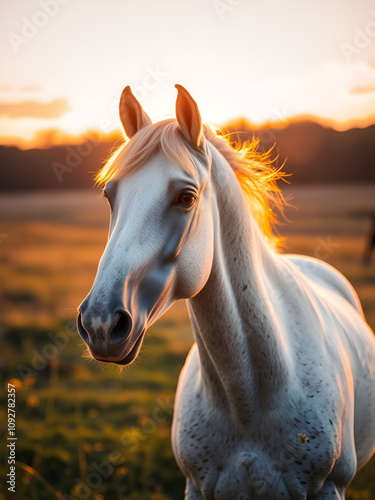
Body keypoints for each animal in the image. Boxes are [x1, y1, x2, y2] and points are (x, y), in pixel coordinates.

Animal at [78, 84, 375, 498]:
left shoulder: (329, 486)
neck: (248, 399)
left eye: (186, 197)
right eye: (109, 196)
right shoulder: (197, 487)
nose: (101, 324)